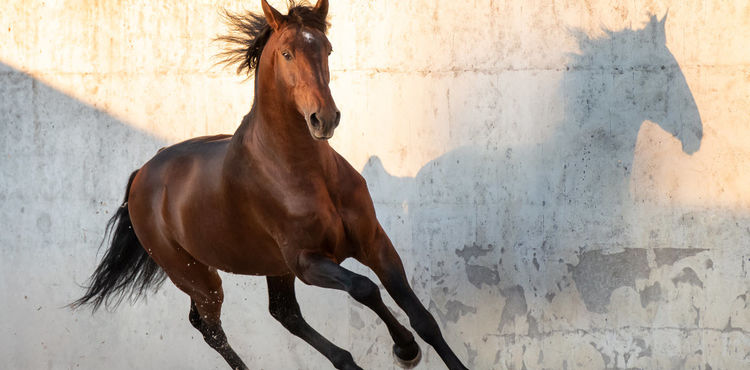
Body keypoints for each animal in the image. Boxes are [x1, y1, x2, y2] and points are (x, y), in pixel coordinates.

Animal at [72, 0, 470, 370]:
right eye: (286, 53)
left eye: (327, 49)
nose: (324, 118)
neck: (307, 172)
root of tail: (143, 173)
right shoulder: (307, 262)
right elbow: (364, 288)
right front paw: (405, 348)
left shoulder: (374, 243)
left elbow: (423, 317)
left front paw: (425, 350)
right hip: (196, 277)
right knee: (210, 328)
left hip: (271, 268)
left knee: (283, 313)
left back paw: (345, 360)